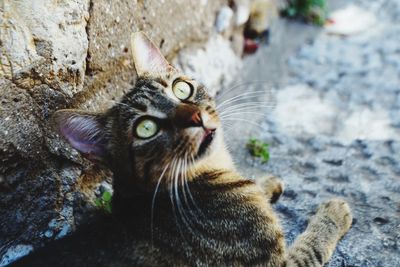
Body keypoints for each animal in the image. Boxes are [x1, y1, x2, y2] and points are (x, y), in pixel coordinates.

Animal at [10, 31, 352, 267]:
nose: (196, 117)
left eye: (181, 89)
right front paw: (333, 213)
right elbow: (311, 246)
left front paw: (264, 184)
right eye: (146, 128)